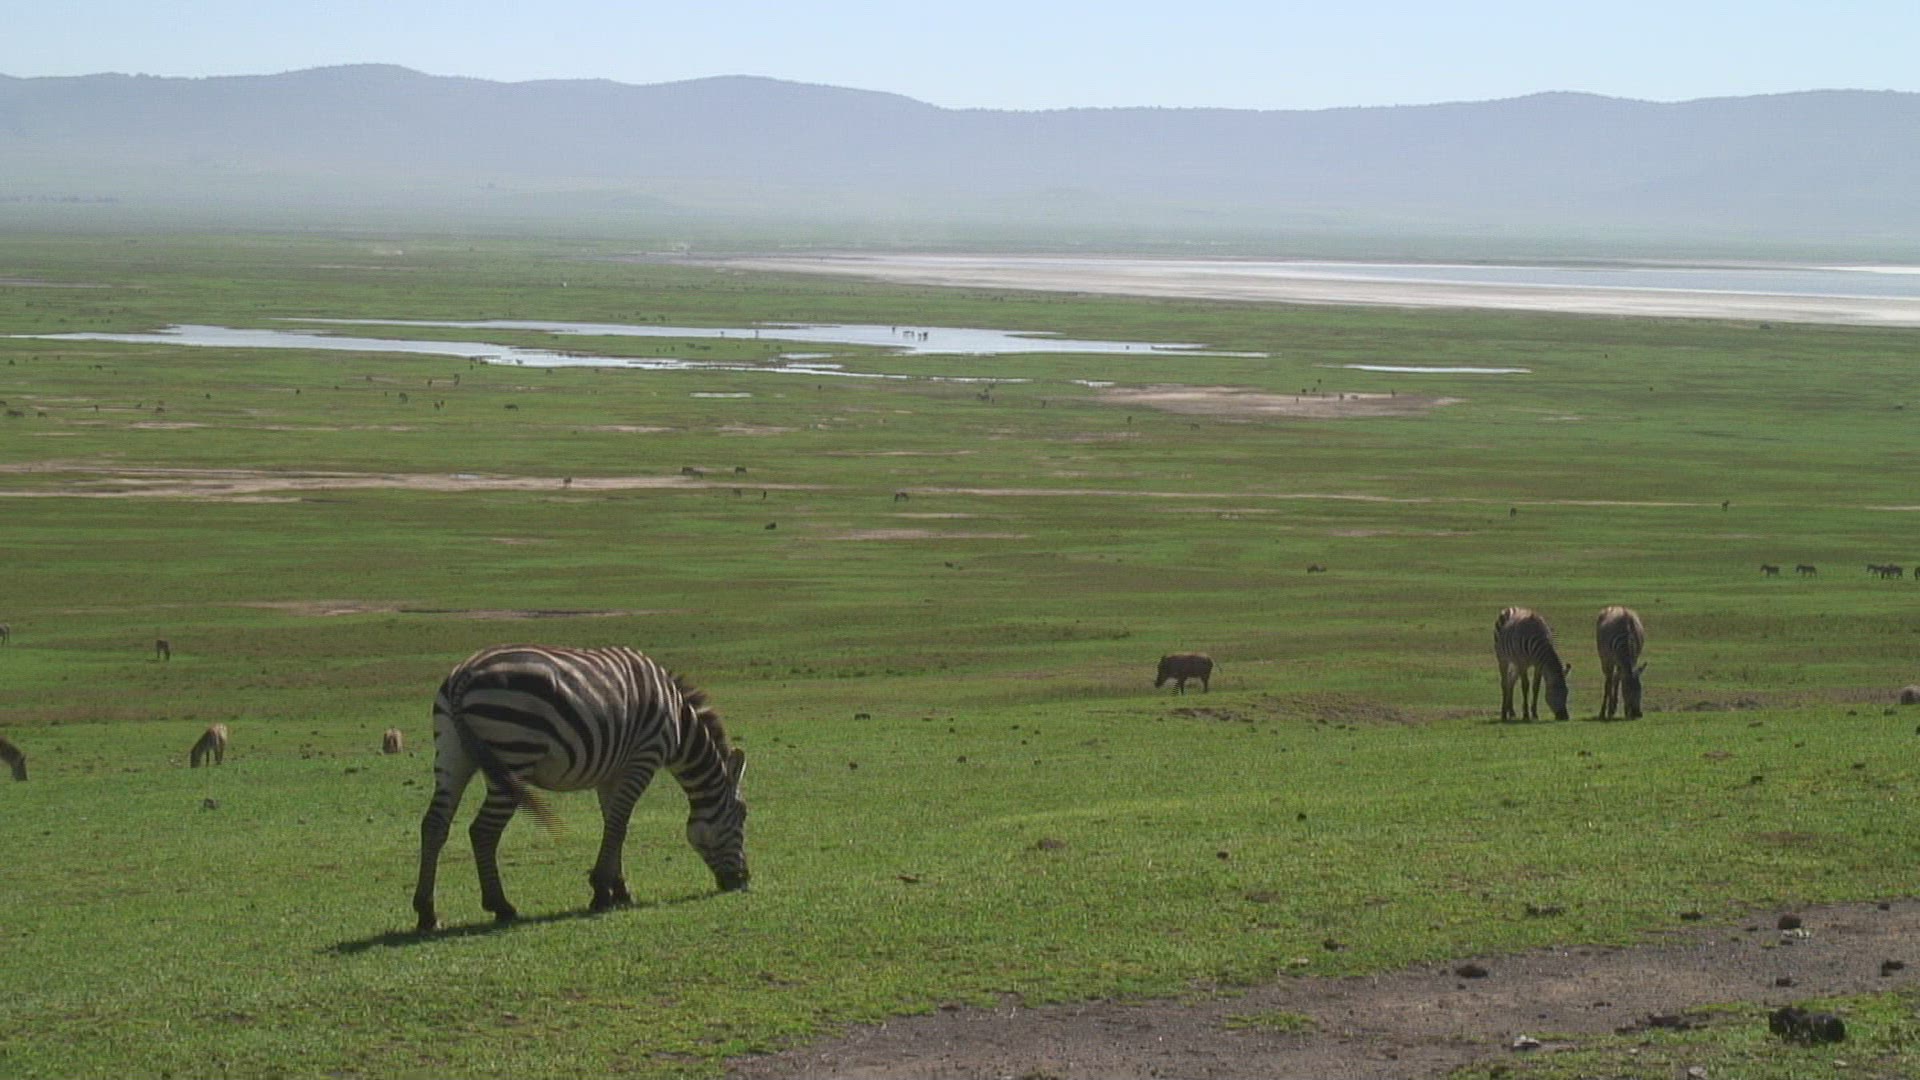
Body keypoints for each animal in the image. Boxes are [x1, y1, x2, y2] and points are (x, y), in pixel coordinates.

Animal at [412, 645, 749, 932]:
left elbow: (614, 826)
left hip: (453, 755)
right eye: (743, 816)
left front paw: (619, 890)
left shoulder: (613, 771)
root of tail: (464, 675)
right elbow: (619, 825)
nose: (744, 881)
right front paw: (601, 891)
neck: (678, 723)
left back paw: (427, 913)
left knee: (434, 825)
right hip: (514, 753)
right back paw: (501, 906)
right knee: (483, 830)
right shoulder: (644, 757)